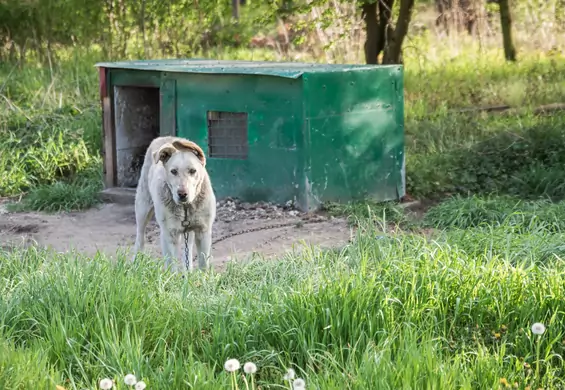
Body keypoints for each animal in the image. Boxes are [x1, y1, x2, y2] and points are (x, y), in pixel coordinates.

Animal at [132, 136, 216, 272]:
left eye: (193, 171)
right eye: (173, 171)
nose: (182, 194)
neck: (186, 207)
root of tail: (163, 137)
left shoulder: (203, 231)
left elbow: (203, 263)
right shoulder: (169, 233)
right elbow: (171, 264)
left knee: (188, 248)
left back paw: (188, 271)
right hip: (142, 207)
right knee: (140, 237)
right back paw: (135, 263)